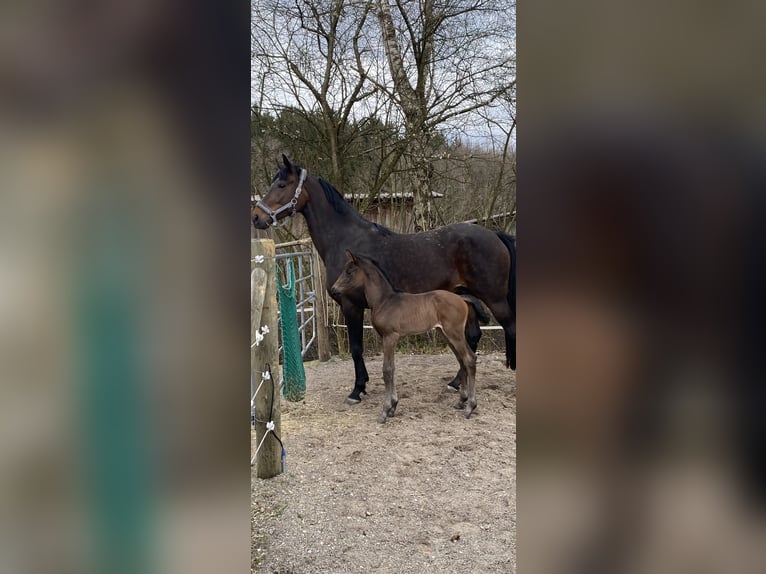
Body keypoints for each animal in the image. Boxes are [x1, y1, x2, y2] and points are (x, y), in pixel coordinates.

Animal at [332, 252, 480, 424]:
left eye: (349, 272)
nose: (334, 289)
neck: (384, 301)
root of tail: (462, 299)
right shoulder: (387, 338)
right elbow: (392, 368)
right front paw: (393, 406)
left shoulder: (390, 337)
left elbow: (387, 370)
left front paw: (385, 410)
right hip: (446, 334)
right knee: (462, 360)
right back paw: (461, 401)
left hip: (454, 334)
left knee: (469, 359)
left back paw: (470, 407)